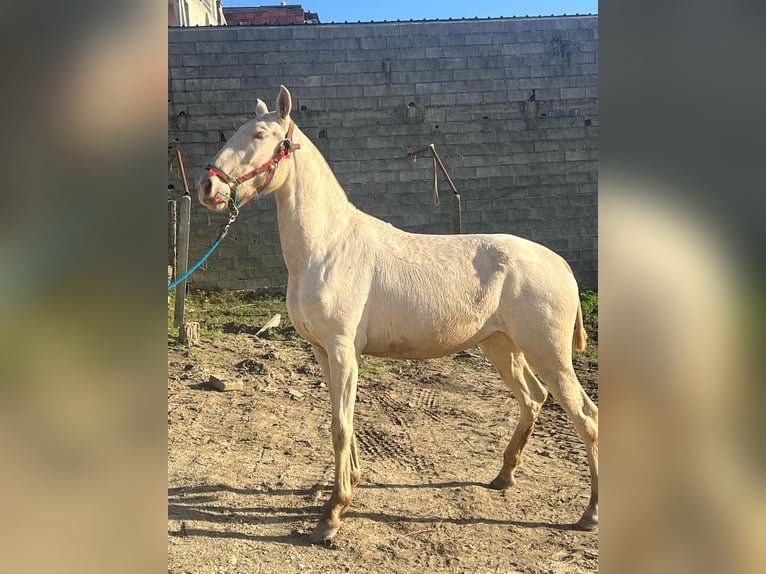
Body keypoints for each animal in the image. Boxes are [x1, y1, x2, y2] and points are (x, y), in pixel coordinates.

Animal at [198, 85, 600, 544]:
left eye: (260, 135)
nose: (207, 186)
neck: (329, 248)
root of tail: (560, 263)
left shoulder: (343, 350)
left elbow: (340, 426)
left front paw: (332, 515)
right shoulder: (323, 351)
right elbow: (342, 421)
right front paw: (350, 486)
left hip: (548, 353)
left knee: (586, 416)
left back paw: (590, 513)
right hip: (501, 347)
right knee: (533, 398)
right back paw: (503, 477)